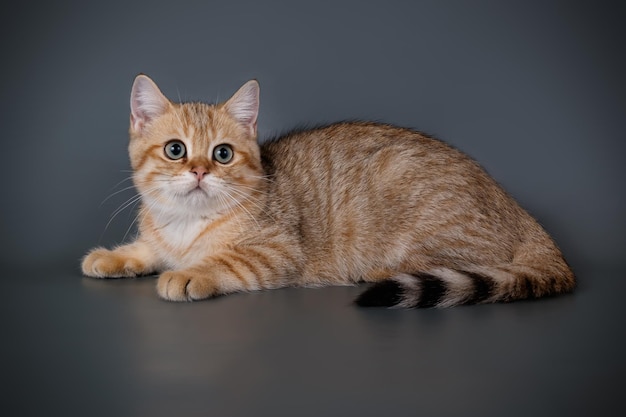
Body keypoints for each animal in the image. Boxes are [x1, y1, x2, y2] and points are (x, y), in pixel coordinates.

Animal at [80, 74, 572, 306]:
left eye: (222, 154)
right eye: (175, 149)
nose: (200, 171)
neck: (186, 225)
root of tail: (517, 208)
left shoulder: (276, 250)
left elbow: (226, 261)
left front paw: (188, 273)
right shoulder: (161, 236)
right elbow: (147, 247)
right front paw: (113, 256)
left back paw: (377, 271)